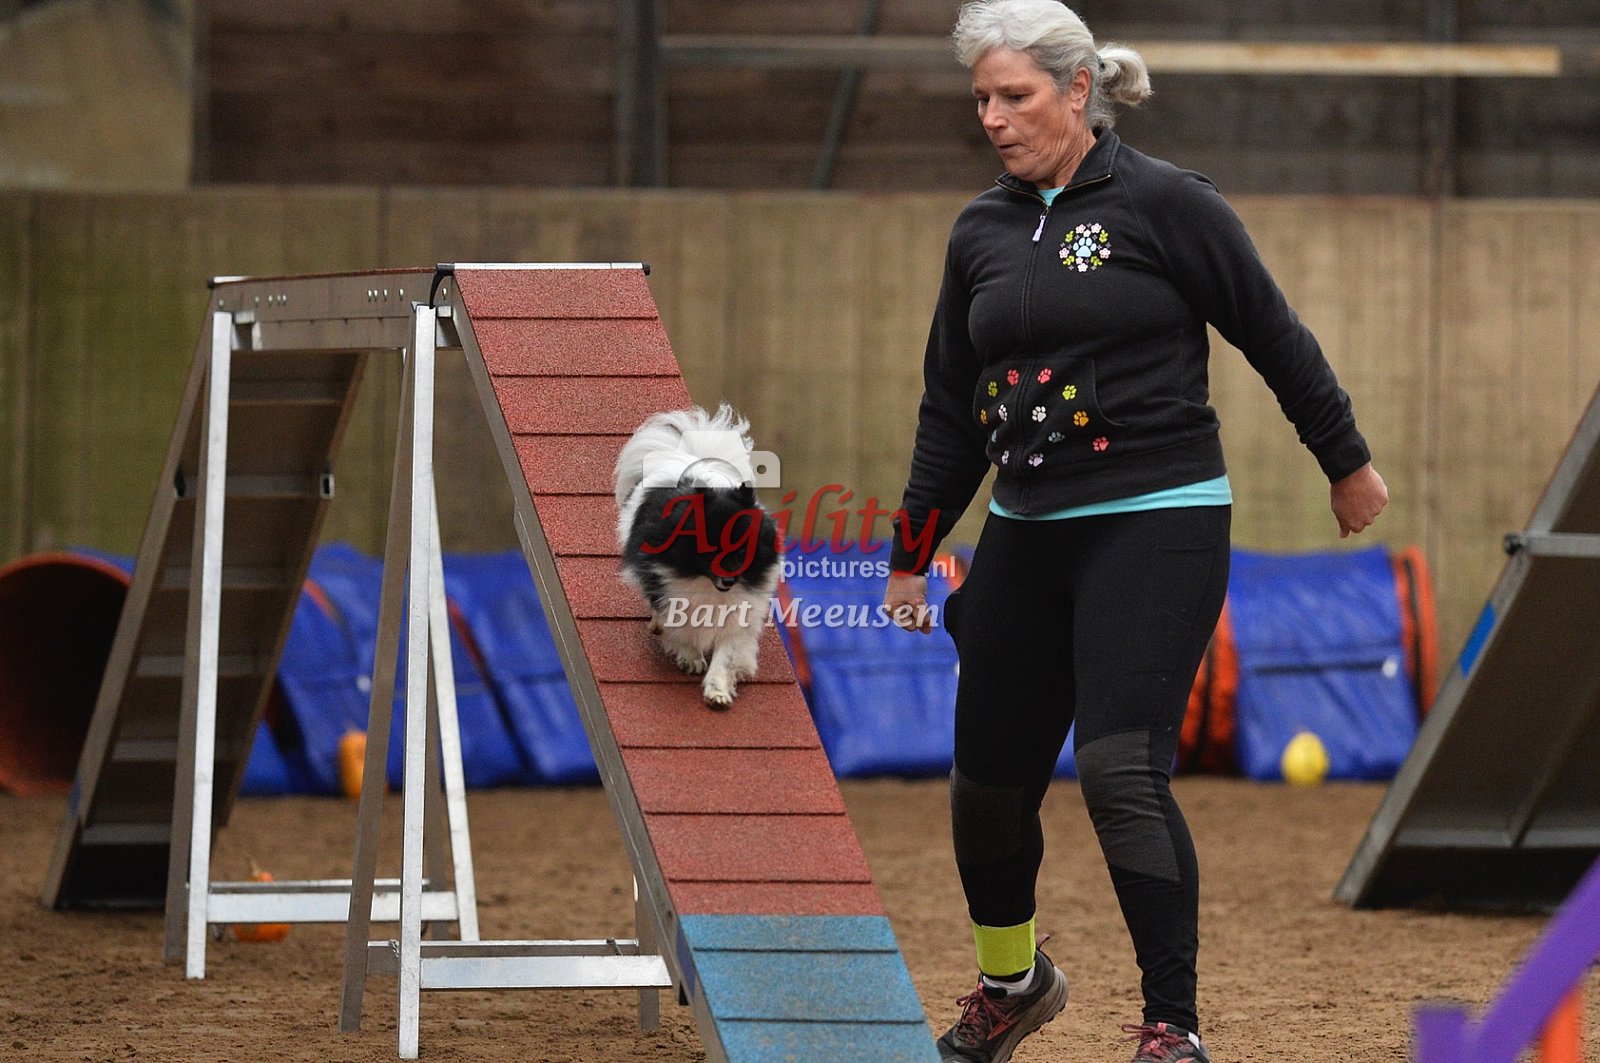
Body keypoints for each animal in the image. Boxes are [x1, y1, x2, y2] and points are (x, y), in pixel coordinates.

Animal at [614, 404, 780, 708]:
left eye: (742, 551)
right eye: (710, 550)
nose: (729, 578)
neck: (706, 583)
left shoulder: (738, 612)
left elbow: (726, 654)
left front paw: (718, 692)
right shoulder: (672, 590)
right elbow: (682, 626)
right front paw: (690, 658)